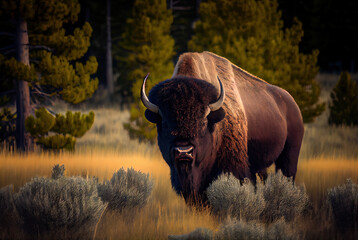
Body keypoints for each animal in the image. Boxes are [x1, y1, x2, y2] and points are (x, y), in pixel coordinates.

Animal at [141, 51, 304, 202]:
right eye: (164, 123)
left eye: (203, 122)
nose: (183, 151)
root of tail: (292, 104)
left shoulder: (236, 168)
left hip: (289, 155)